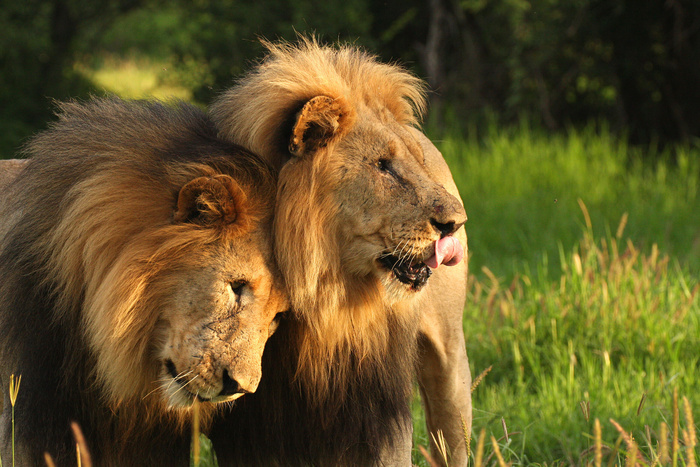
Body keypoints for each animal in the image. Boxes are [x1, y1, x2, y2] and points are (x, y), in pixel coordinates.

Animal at [208, 37, 470, 467]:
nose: (456, 223)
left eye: (415, 163)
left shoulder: (373, 405)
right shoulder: (250, 423)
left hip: (449, 361)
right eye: (383, 165)